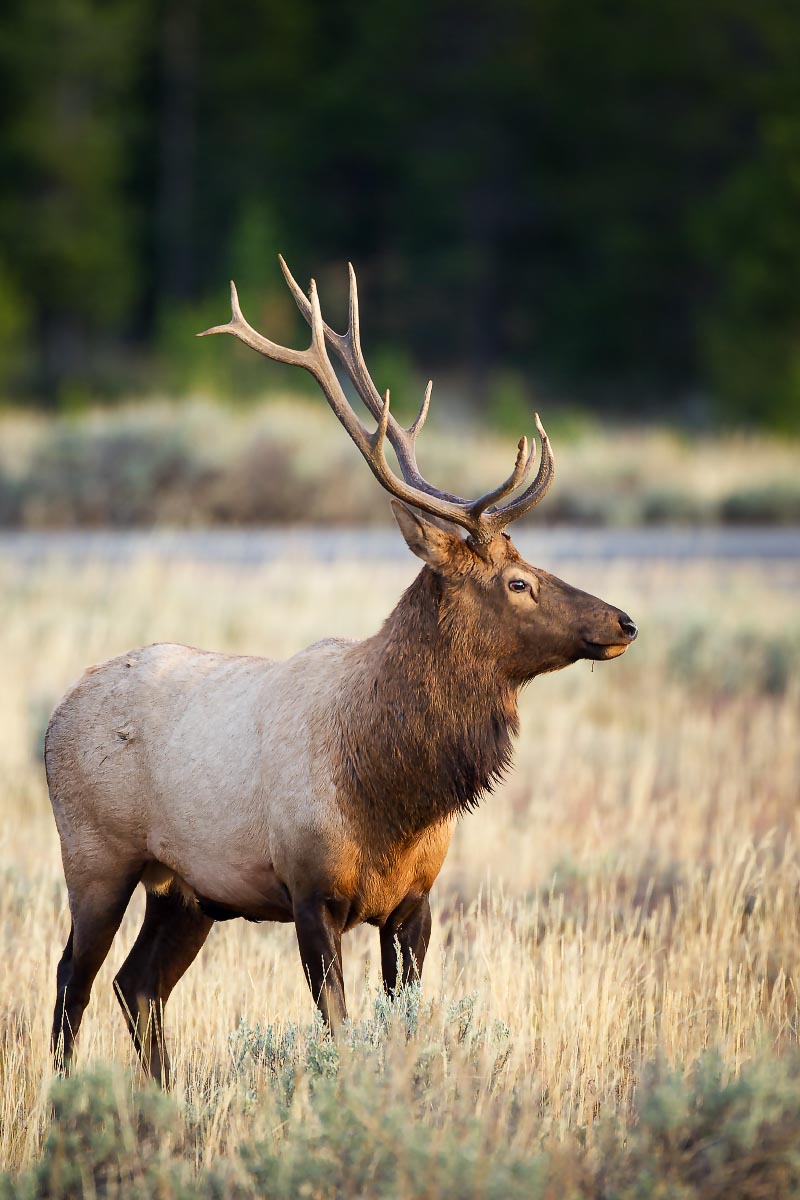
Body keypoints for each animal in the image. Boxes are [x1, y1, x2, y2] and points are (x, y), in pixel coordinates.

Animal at [48, 260, 638, 1089]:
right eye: (517, 581)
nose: (622, 622)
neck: (392, 791)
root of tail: (57, 714)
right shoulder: (309, 892)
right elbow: (338, 1027)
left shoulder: (415, 902)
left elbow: (403, 1023)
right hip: (95, 856)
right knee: (74, 979)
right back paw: (65, 1097)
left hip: (186, 889)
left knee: (138, 985)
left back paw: (161, 1098)